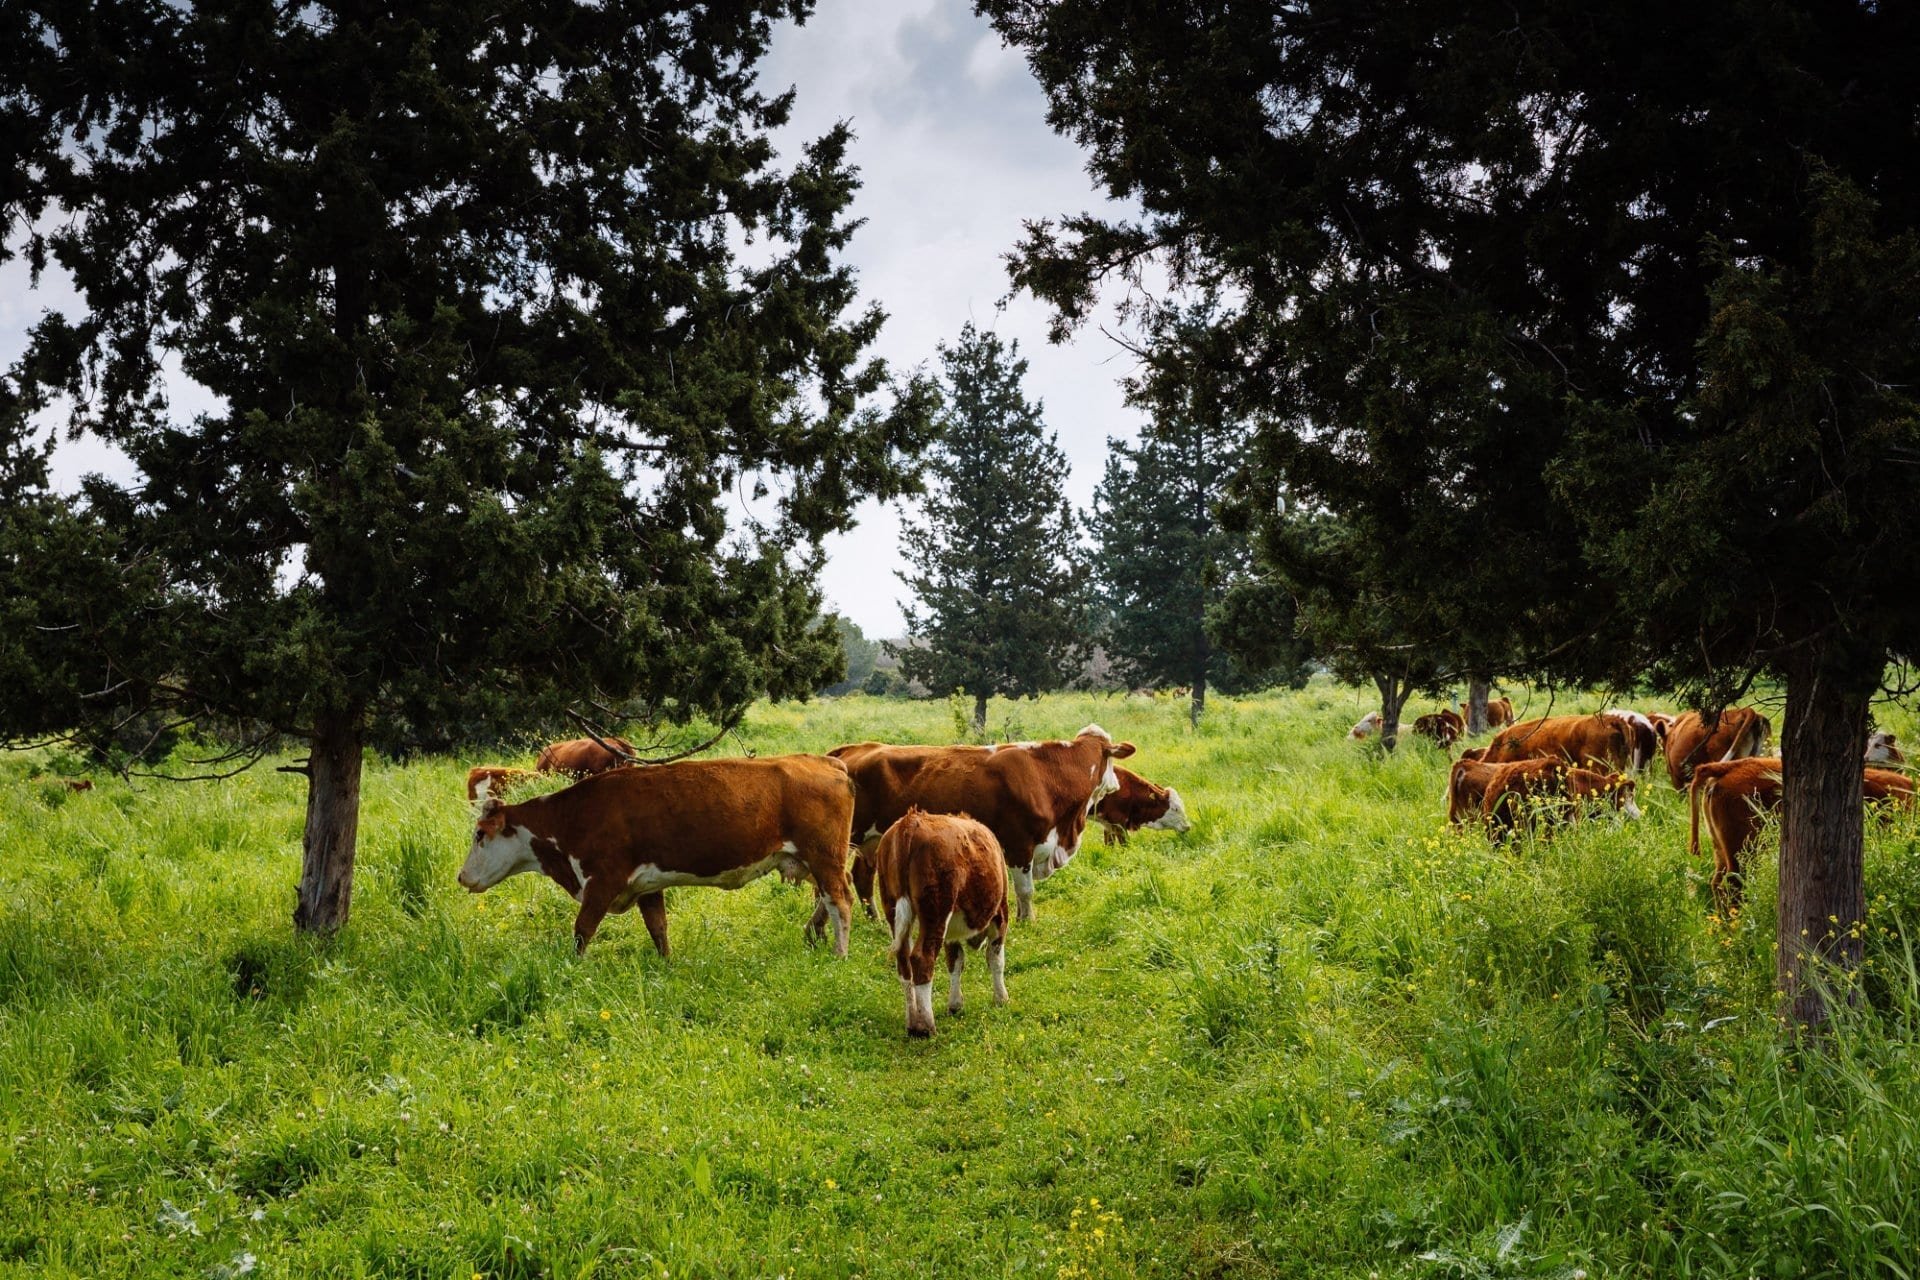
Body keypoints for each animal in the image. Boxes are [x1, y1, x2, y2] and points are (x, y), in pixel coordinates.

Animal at [833, 725, 1128, 924]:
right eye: (1111, 759)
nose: (1116, 784)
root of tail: (853, 749)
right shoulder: (1019, 845)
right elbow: (1025, 890)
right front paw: (1027, 921)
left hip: (872, 840)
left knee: (862, 877)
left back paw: (876, 921)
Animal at [879, 809, 1013, 1043]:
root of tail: (909, 822)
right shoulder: (1001, 915)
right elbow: (995, 959)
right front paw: (1001, 998)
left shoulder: (952, 934)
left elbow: (955, 961)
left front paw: (955, 1004)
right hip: (936, 910)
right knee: (922, 959)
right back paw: (926, 1027)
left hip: (892, 908)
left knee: (904, 963)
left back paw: (912, 1023)